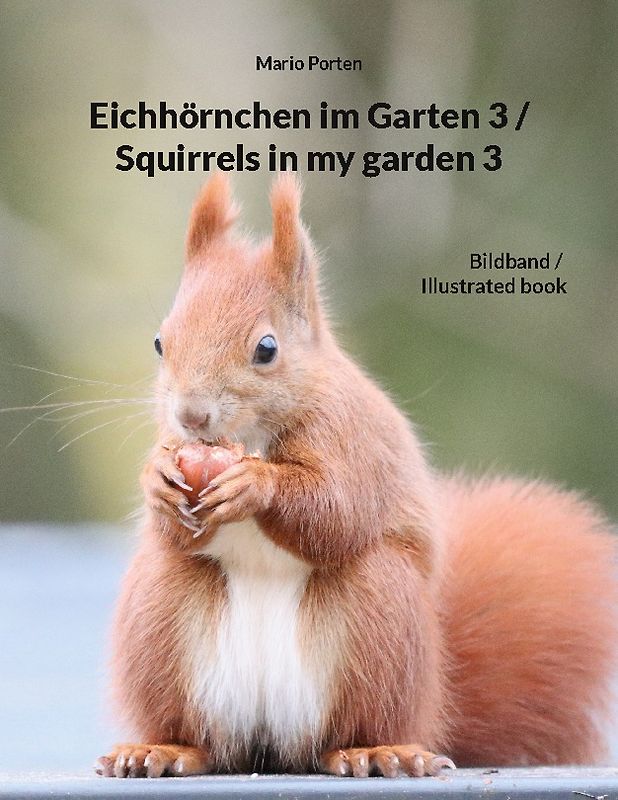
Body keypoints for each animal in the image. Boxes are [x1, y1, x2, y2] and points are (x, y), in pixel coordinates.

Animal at [97, 173, 617, 779]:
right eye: (160, 342)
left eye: (266, 348)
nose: (191, 416)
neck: (252, 438)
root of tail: (269, 743)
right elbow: (172, 527)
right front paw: (156, 478)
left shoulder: (352, 440)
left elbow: (337, 511)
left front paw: (256, 486)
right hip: (161, 623)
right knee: (203, 736)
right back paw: (164, 748)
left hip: (379, 621)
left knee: (352, 725)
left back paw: (373, 750)